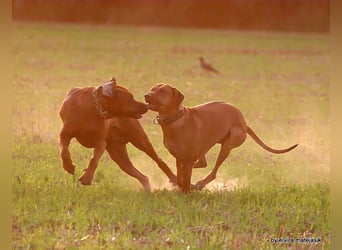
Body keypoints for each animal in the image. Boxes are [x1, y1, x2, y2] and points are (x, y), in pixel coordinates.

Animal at [143, 84, 298, 193]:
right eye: (152, 89)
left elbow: (185, 180)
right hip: (207, 145)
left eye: (163, 91)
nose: (146, 95)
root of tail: (244, 123)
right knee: (203, 162)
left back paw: (201, 183)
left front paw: (187, 193)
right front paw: (182, 187)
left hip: (227, 145)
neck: (174, 120)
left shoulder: (186, 159)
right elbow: (180, 178)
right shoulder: (179, 158)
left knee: (213, 171)